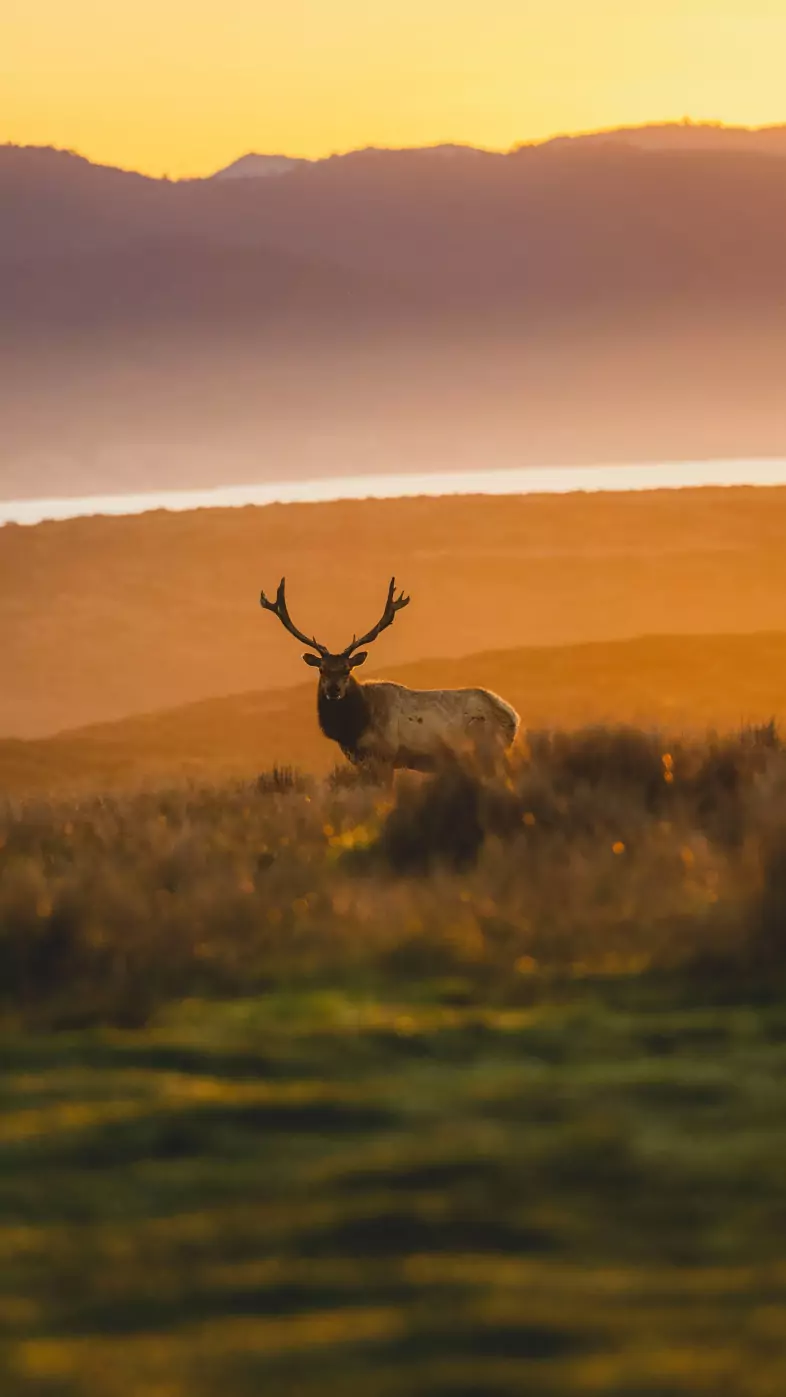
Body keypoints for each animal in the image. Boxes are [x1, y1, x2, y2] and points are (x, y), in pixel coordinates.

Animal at [259, 577, 519, 774]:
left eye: (347, 669)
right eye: (322, 668)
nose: (334, 689)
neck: (354, 728)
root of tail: (513, 718)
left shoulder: (383, 758)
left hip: (487, 751)